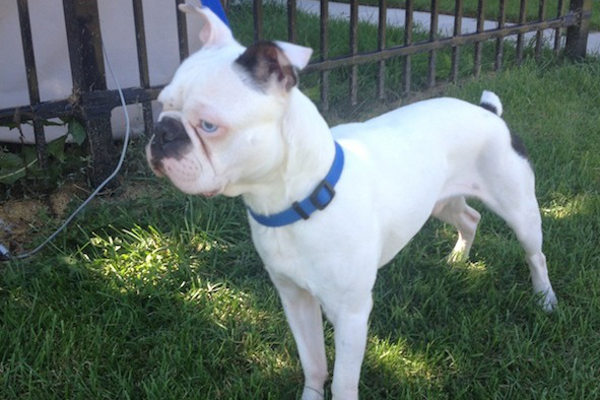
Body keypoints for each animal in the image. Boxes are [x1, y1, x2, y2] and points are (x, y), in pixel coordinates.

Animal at [146, 4, 556, 398]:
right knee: (470, 217)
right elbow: (313, 364)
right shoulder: (296, 300)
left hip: (519, 210)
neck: (299, 202)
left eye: (209, 126)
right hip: (441, 201)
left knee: (535, 254)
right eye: (162, 104)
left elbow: (343, 381)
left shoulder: (352, 314)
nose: (162, 132)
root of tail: (488, 112)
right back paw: (458, 259)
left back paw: (545, 299)